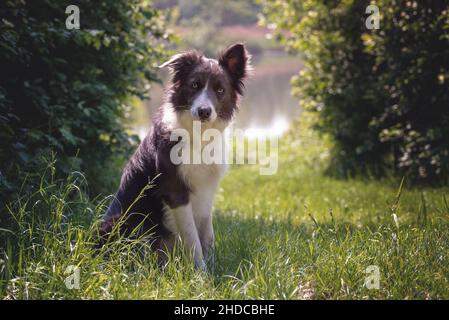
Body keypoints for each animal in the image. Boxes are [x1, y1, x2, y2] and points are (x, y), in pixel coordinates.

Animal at [99, 42, 250, 268]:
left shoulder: (207, 191)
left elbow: (207, 235)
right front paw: (201, 273)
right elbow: (193, 239)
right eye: (194, 85)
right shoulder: (176, 192)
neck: (199, 136)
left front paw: (213, 267)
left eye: (220, 90)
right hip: (123, 222)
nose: (204, 111)